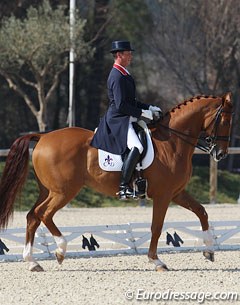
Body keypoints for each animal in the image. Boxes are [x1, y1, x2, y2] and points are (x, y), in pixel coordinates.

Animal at [0, 92, 232, 268]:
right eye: (224, 120)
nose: (221, 154)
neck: (172, 143)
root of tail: (42, 137)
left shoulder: (176, 193)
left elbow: (202, 212)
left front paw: (209, 251)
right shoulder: (163, 195)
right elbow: (156, 227)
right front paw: (156, 261)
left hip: (48, 190)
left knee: (32, 216)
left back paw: (32, 262)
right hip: (64, 191)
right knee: (44, 214)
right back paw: (60, 250)